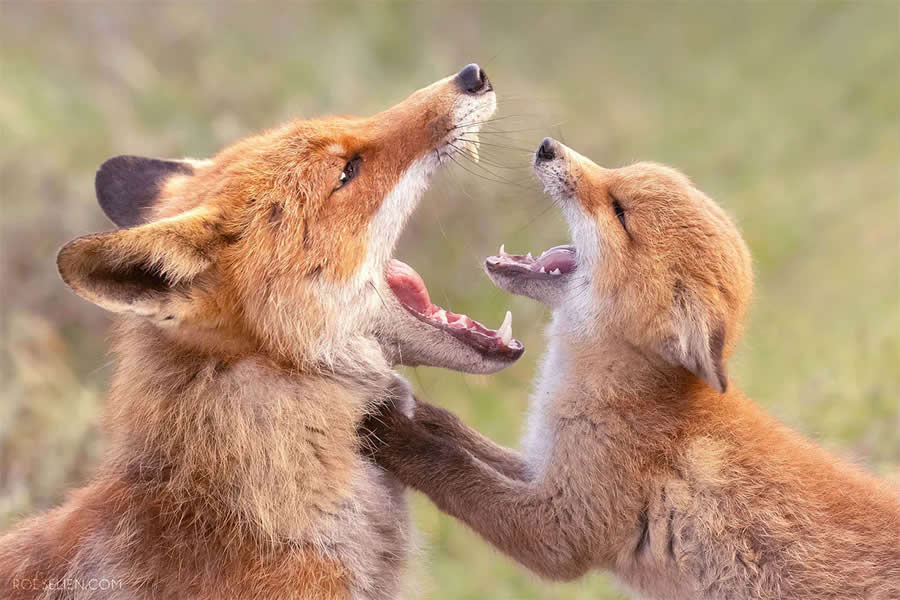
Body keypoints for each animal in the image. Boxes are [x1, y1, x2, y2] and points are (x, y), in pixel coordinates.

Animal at [363, 137, 900, 599]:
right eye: (616, 175)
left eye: (619, 211)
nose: (547, 145)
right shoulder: (545, 466)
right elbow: (457, 436)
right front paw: (412, 409)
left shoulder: (562, 529)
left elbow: (451, 468)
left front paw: (390, 432)